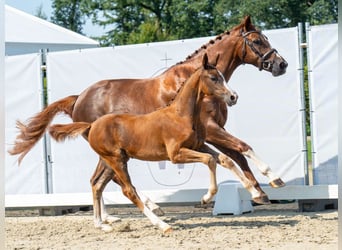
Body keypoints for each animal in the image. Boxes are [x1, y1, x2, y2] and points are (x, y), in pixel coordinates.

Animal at [9, 15, 288, 227]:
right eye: (257, 40)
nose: (281, 64)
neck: (191, 83)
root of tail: (78, 99)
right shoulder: (211, 129)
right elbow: (242, 148)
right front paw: (272, 178)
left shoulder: (210, 132)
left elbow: (235, 156)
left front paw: (258, 191)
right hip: (112, 151)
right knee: (111, 179)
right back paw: (147, 210)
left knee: (102, 179)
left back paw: (110, 218)